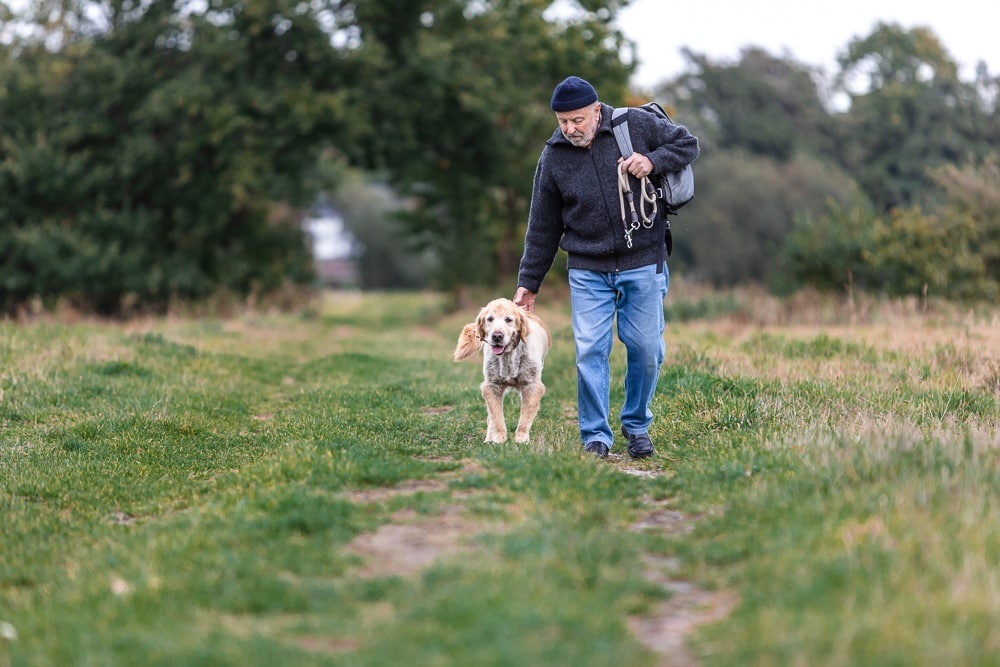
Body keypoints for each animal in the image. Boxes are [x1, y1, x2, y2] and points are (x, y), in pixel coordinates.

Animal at [456, 298, 556, 444]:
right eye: (490, 319)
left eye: (509, 319)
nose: (497, 336)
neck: (508, 356)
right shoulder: (491, 386)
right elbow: (497, 417)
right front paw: (499, 439)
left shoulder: (532, 385)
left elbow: (525, 418)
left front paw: (522, 439)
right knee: (490, 418)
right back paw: (488, 439)